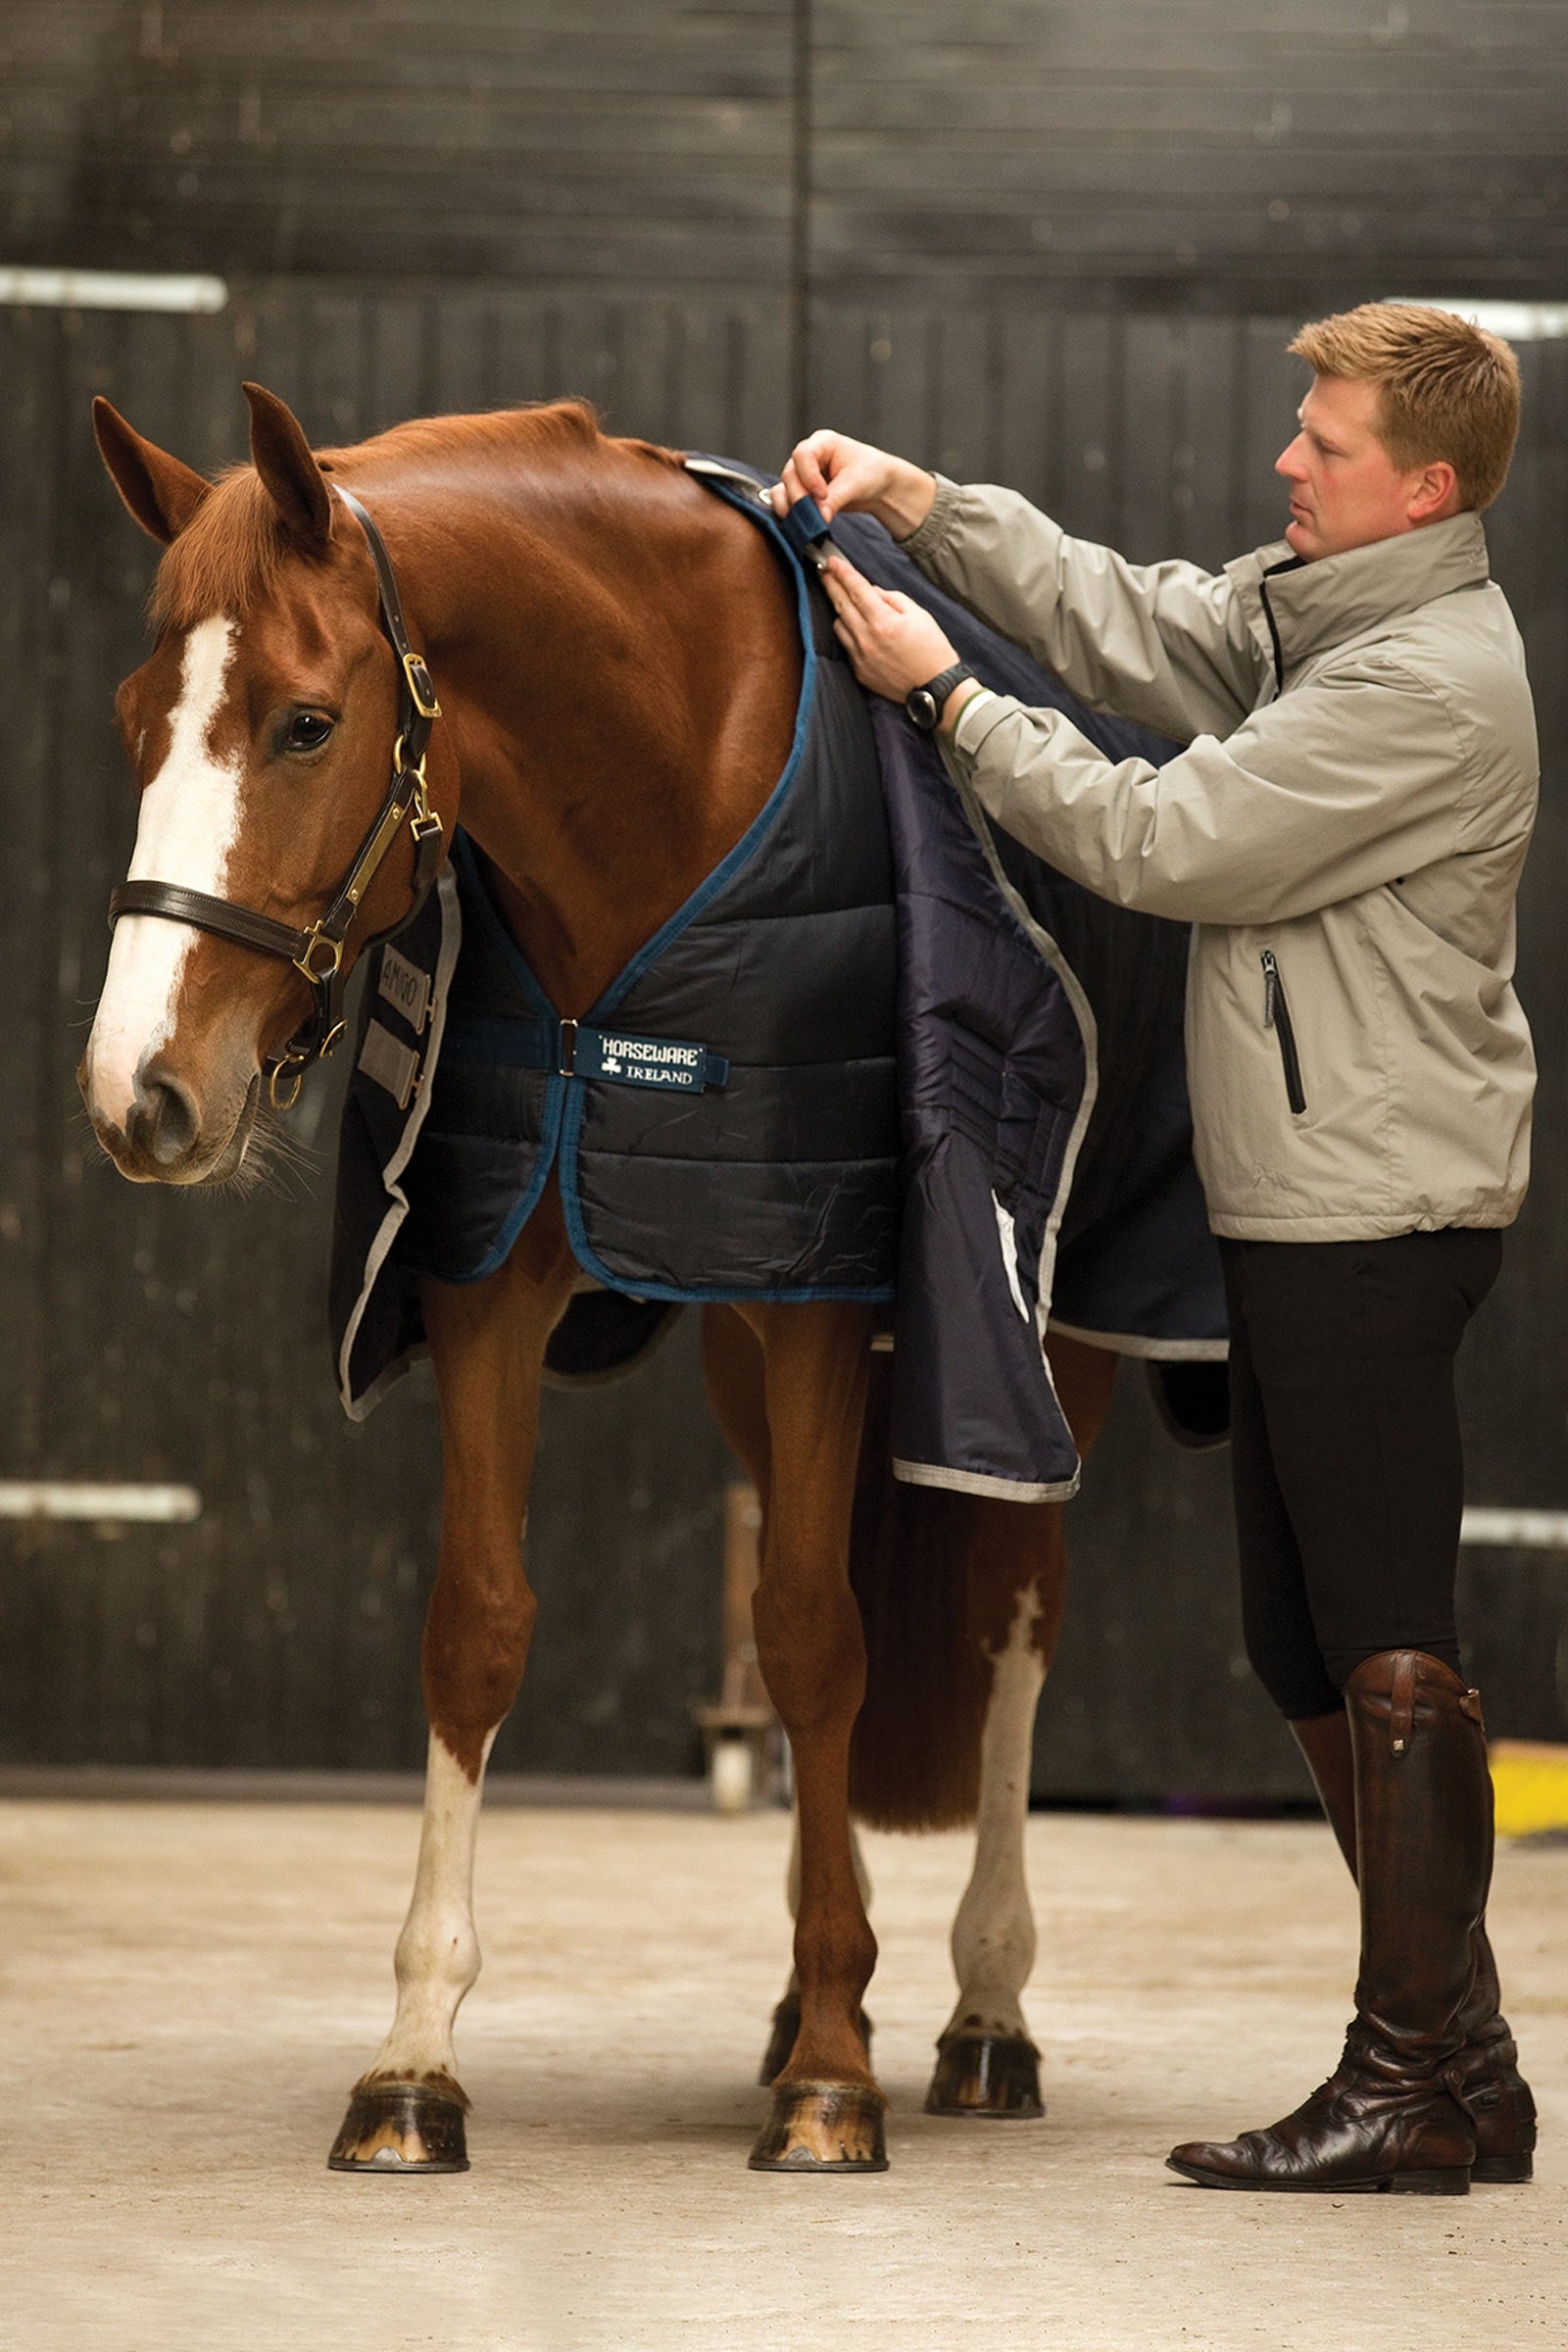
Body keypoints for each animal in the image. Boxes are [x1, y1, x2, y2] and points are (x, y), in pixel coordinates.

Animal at [79, 382, 1121, 2175]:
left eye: (302, 724)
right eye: (146, 716)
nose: (140, 1091)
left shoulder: (824, 1294)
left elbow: (815, 1639)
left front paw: (835, 2079)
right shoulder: (496, 1277)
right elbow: (480, 1628)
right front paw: (416, 2061)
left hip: (1032, 1364)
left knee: (1009, 1617)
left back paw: (979, 2010)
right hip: (741, 1352)